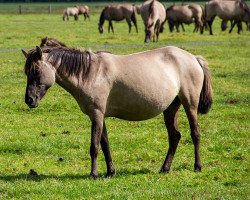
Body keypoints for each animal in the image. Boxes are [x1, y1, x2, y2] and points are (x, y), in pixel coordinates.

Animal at [22, 45, 212, 178]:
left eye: (36, 71)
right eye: (26, 72)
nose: (29, 100)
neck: (91, 73)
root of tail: (193, 58)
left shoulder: (97, 114)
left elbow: (94, 146)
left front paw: (93, 174)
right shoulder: (100, 116)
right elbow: (105, 144)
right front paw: (110, 172)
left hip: (190, 104)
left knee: (195, 133)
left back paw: (197, 166)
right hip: (171, 108)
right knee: (175, 136)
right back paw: (165, 168)